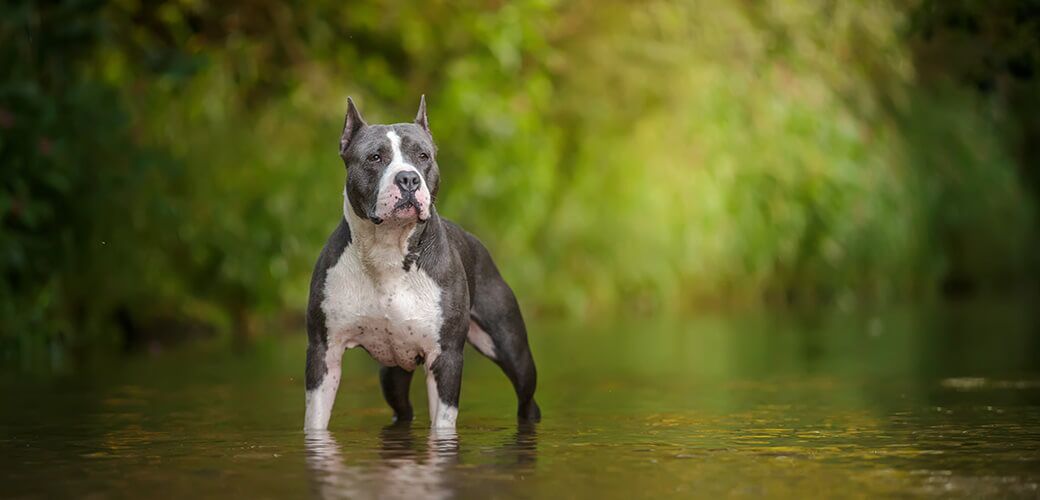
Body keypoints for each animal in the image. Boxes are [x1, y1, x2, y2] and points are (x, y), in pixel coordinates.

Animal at [303, 94, 540, 428]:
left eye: (423, 155)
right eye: (375, 157)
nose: (408, 178)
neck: (388, 251)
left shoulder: (446, 357)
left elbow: (442, 423)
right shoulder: (324, 352)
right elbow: (315, 420)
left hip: (514, 352)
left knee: (527, 399)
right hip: (392, 376)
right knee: (402, 410)